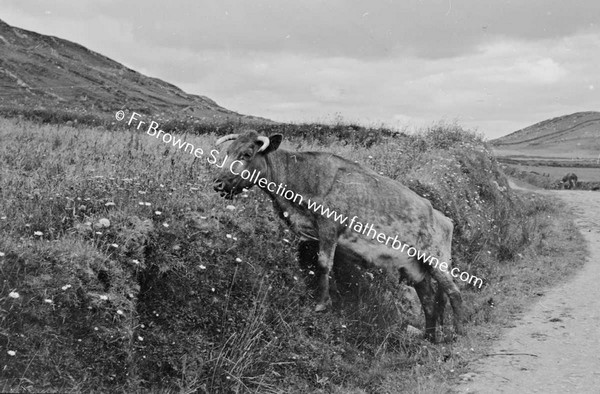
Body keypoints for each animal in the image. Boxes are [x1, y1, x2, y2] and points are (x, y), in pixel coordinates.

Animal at [213, 131, 466, 340]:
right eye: (228, 151)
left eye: (246, 153)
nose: (218, 184)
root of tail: (443, 217)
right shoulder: (309, 234)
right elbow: (314, 264)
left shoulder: (329, 226)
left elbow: (324, 263)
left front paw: (321, 303)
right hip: (415, 267)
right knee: (430, 301)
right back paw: (429, 338)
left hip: (437, 259)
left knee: (454, 293)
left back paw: (457, 334)